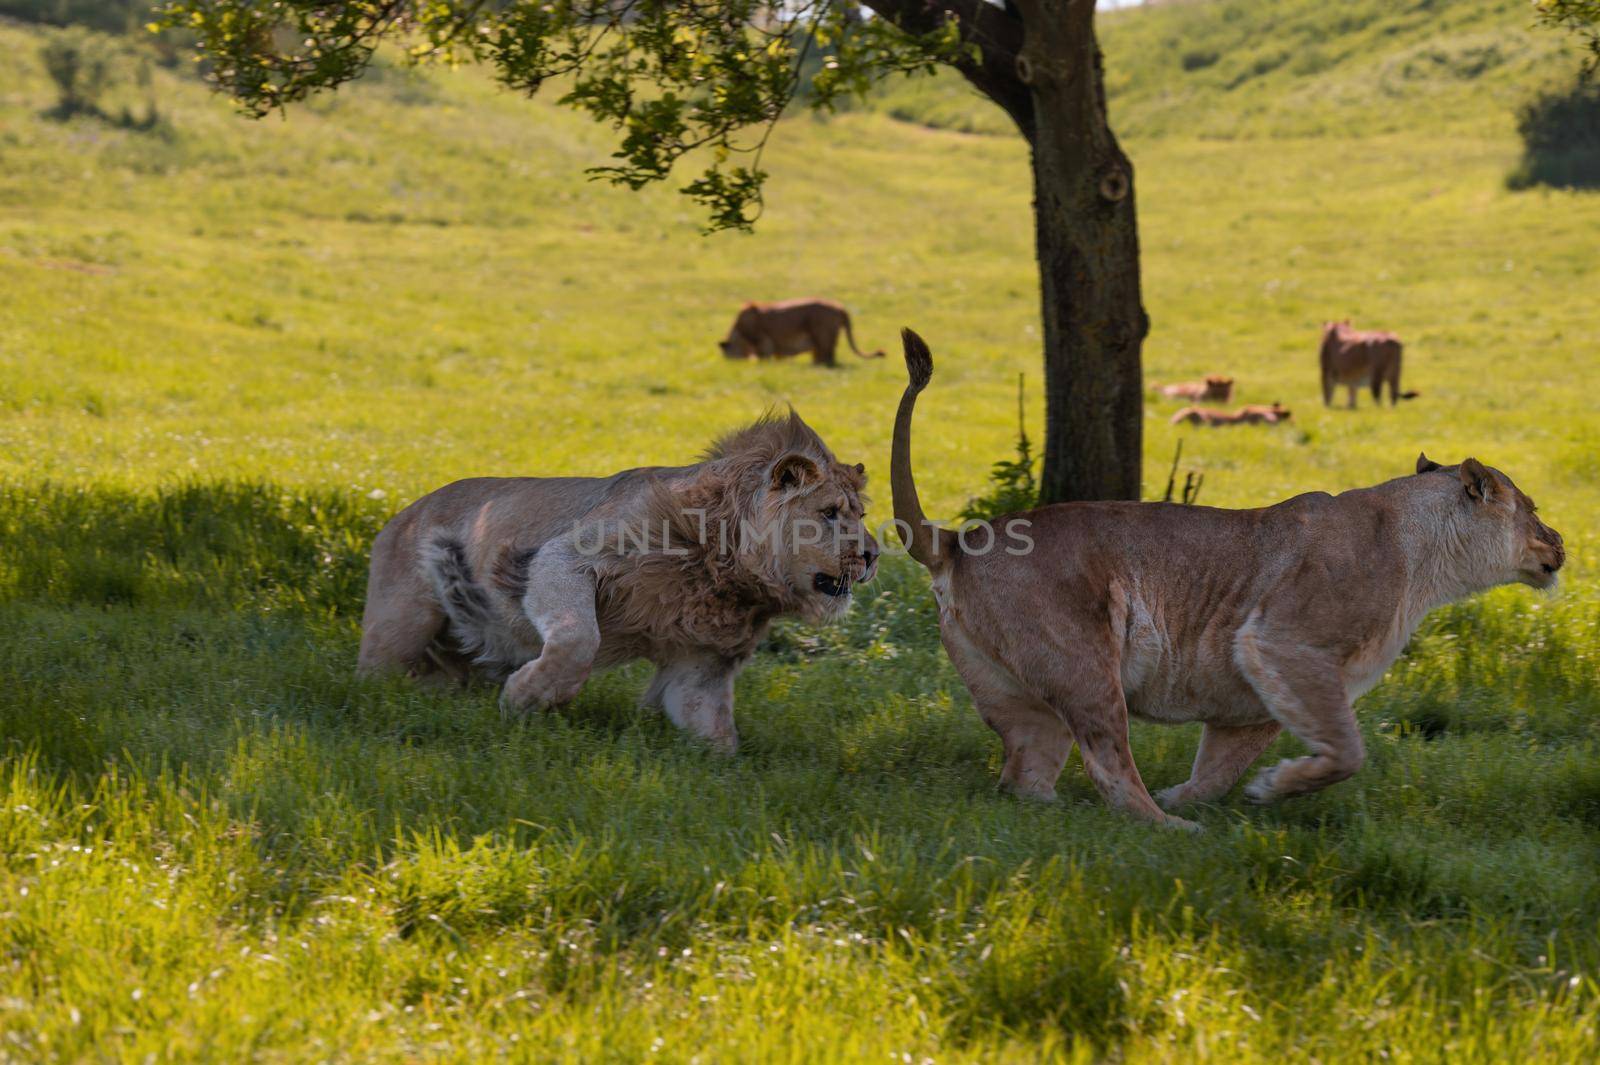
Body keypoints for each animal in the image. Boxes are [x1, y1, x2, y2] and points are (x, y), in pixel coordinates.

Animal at [360, 409, 876, 751]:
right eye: (829, 513)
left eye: (862, 515)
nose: (872, 555)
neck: (730, 571)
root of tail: (399, 513)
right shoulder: (566, 556)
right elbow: (578, 640)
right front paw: (527, 697)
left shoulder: (702, 663)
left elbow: (717, 733)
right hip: (400, 629)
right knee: (373, 679)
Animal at [723, 295, 889, 367]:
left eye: (727, 355)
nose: (728, 363)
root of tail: (840, 307)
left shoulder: (763, 340)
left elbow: (765, 356)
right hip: (821, 341)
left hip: (822, 336)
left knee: (828, 360)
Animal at [889, 327, 1561, 825]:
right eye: (1530, 507)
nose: (1559, 541)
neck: (1423, 559)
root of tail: (958, 540)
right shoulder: (1287, 642)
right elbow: (1347, 750)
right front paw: (1253, 793)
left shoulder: (1252, 697)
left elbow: (1218, 772)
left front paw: (1229, 792)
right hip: (1084, 663)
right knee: (1108, 766)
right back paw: (1166, 829)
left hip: (1021, 698)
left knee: (1024, 777)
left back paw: (1076, 819)